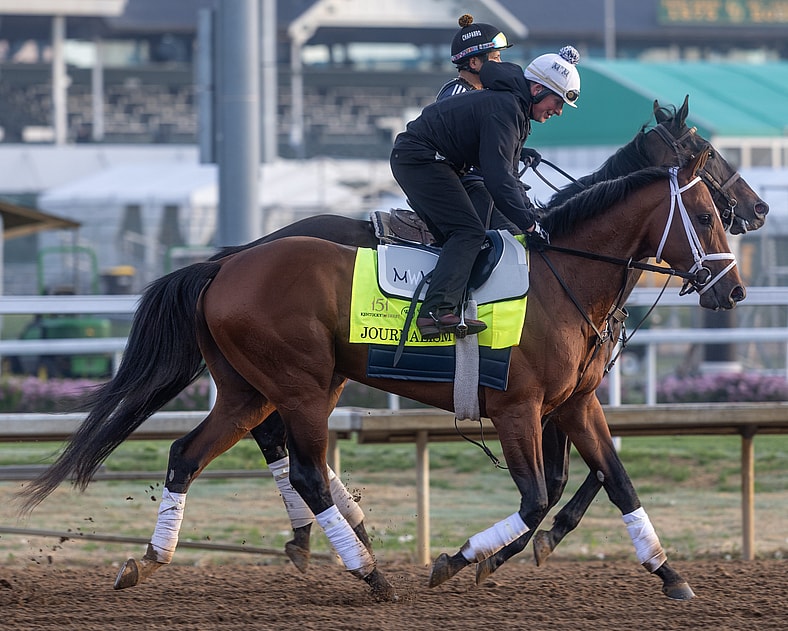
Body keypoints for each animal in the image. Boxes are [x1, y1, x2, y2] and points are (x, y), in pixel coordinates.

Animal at [18, 153, 745, 603]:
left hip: (249, 391)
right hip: (302, 386)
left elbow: (615, 479)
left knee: (187, 454)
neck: (563, 279)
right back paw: (367, 570)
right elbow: (536, 498)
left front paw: (669, 573)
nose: (734, 289)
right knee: (305, 471)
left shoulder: (575, 404)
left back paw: (149, 559)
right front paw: (459, 560)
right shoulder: (519, 408)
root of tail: (225, 263)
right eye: (707, 214)